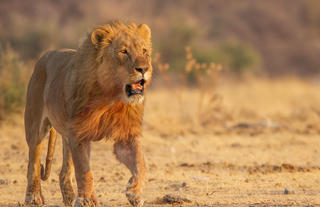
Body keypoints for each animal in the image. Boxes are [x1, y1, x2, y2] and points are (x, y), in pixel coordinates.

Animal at [24, 21, 152, 206]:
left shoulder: (126, 136)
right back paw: (33, 197)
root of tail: (45, 55)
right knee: (33, 163)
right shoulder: (79, 135)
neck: (112, 96)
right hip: (35, 127)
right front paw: (86, 200)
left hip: (66, 135)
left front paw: (134, 192)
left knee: (64, 171)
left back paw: (69, 198)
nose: (144, 69)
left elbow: (140, 163)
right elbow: (84, 172)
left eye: (144, 51)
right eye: (124, 51)